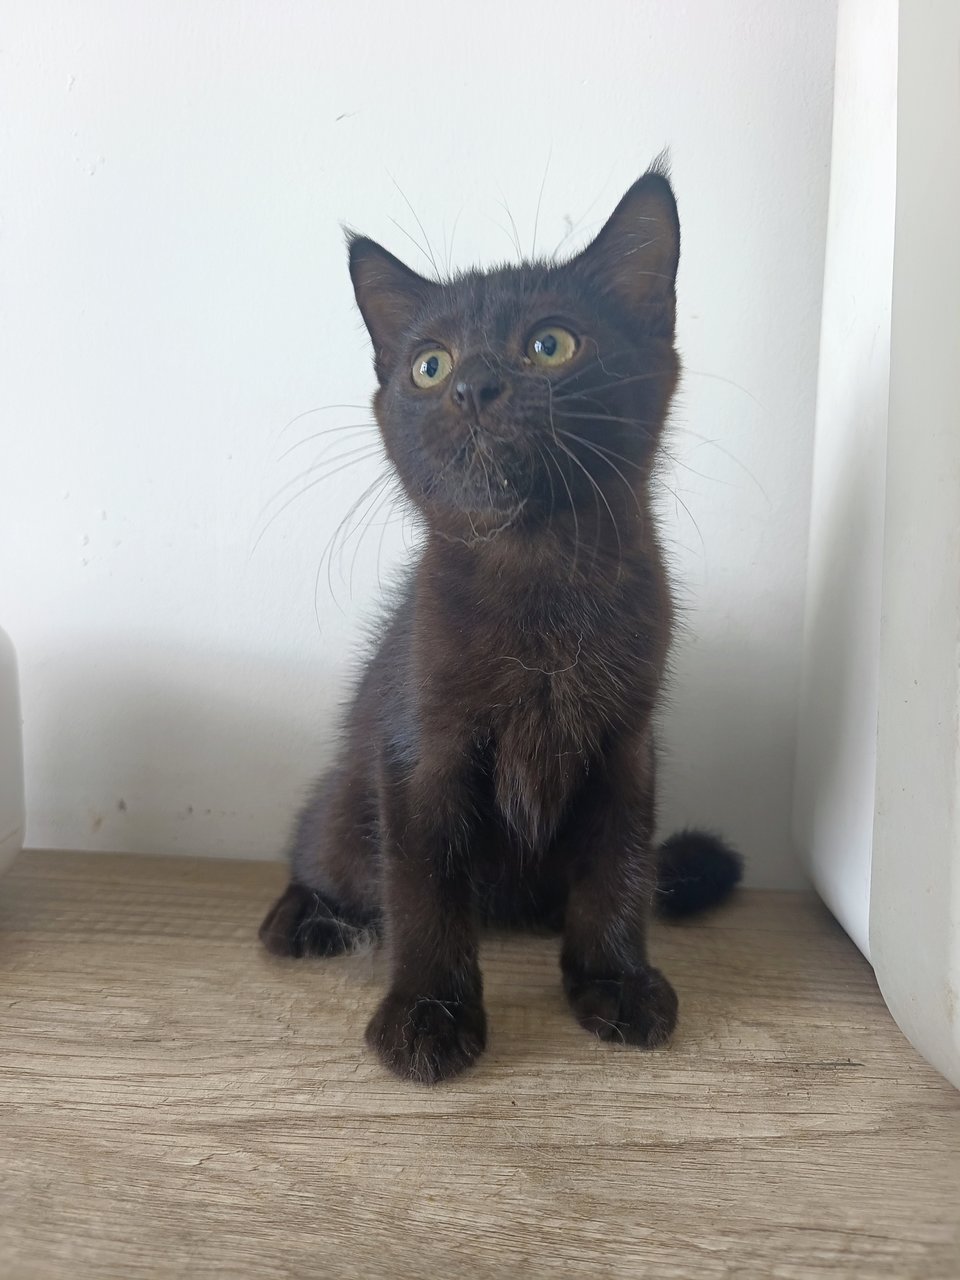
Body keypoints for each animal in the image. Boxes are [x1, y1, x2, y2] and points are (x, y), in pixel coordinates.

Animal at [261, 157, 742, 1080]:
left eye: (550, 344)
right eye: (428, 365)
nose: (473, 386)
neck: (540, 577)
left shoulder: (625, 743)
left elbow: (619, 869)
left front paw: (615, 980)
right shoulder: (422, 748)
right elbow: (425, 890)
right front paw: (427, 1013)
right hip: (344, 802)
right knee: (322, 849)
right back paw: (304, 916)